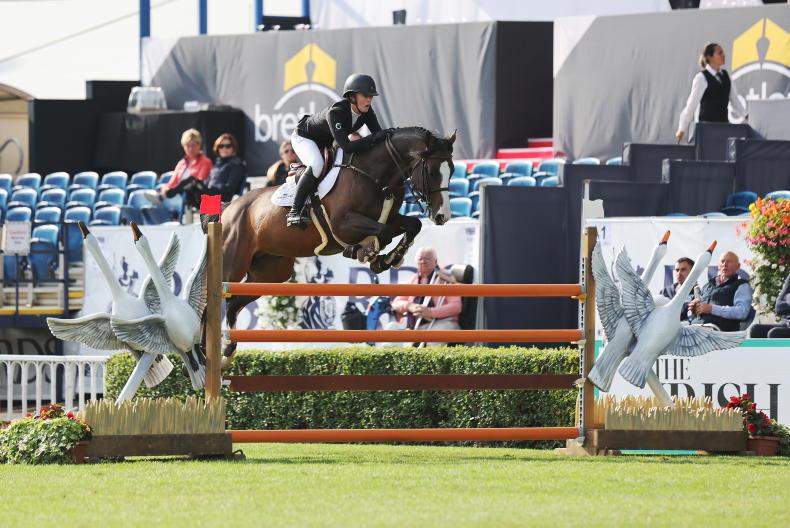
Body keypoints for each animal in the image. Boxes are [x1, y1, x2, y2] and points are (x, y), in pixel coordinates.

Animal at [217, 126, 456, 364]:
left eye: (452, 170)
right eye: (432, 172)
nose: (442, 216)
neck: (376, 176)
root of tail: (229, 208)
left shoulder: (391, 219)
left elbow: (413, 225)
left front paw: (389, 258)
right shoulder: (343, 224)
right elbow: (384, 234)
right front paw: (366, 253)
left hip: (270, 274)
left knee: (234, 303)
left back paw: (228, 348)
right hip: (232, 266)